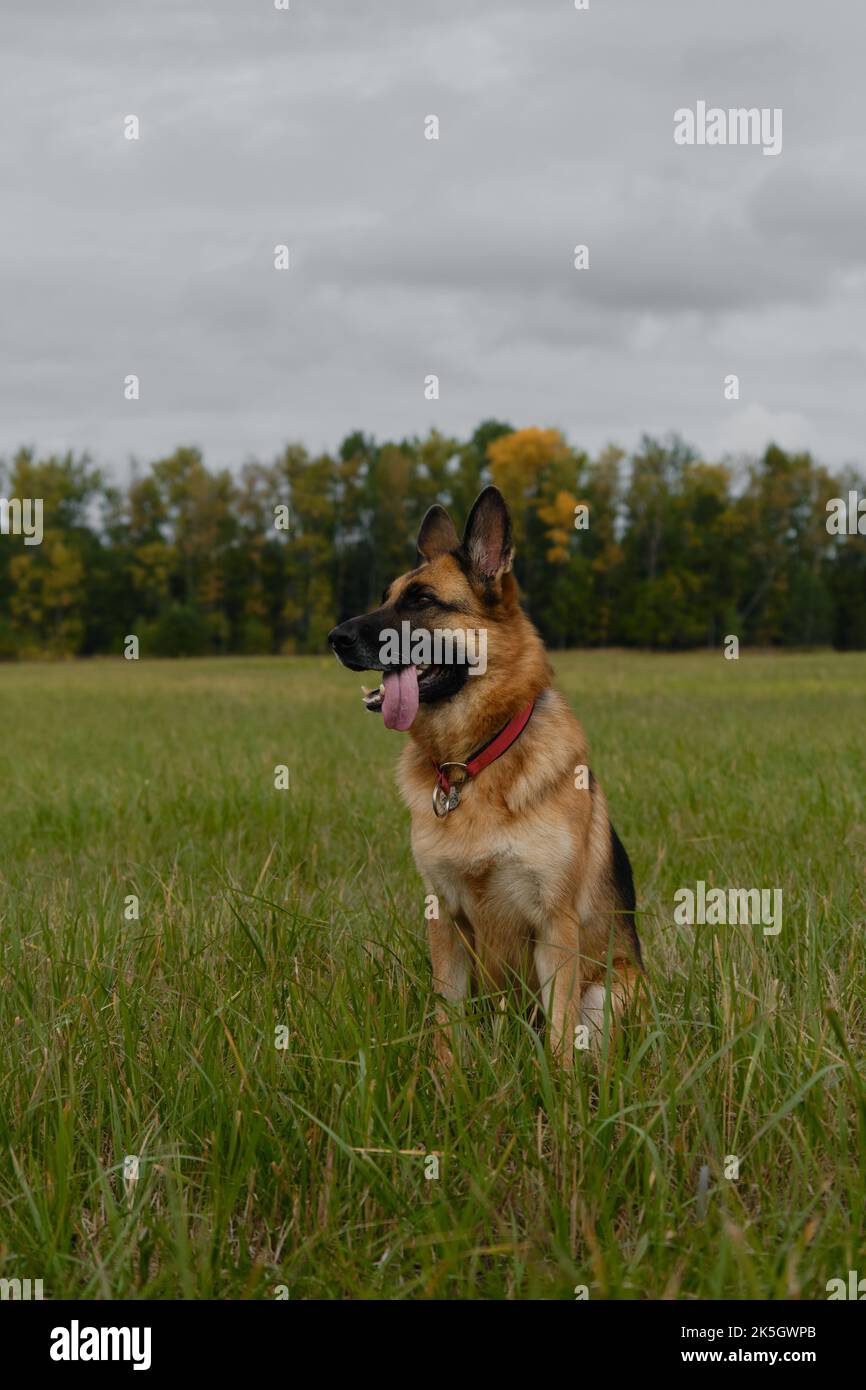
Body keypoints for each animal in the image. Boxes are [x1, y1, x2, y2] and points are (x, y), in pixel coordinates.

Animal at [328, 486, 639, 1061]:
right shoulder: (445, 921)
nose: (334, 638)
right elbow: (445, 1025)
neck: (472, 761)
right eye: (386, 596)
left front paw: (557, 1085)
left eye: (422, 600)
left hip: (613, 989)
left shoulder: (554, 924)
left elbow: (560, 1038)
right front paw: (445, 1077)